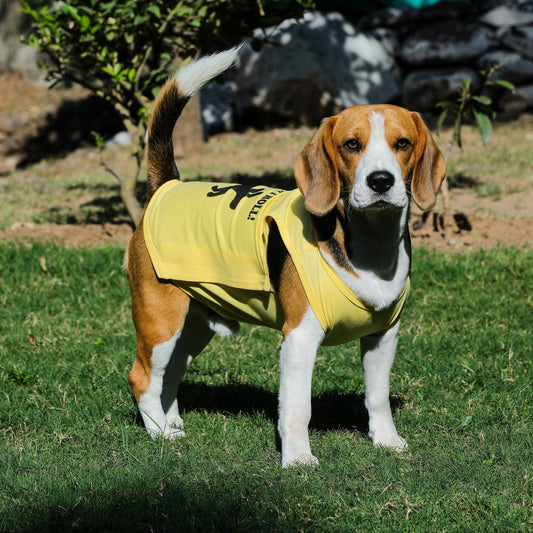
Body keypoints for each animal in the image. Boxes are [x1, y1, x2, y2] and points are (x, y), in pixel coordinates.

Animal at [124, 48, 444, 466]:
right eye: (351, 145)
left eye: (402, 143)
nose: (380, 181)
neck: (367, 247)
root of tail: (167, 186)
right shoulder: (299, 338)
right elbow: (296, 406)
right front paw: (297, 458)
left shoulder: (383, 336)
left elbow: (377, 396)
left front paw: (386, 440)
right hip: (160, 320)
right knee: (143, 377)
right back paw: (160, 433)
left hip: (192, 327)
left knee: (170, 374)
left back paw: (171, 422)